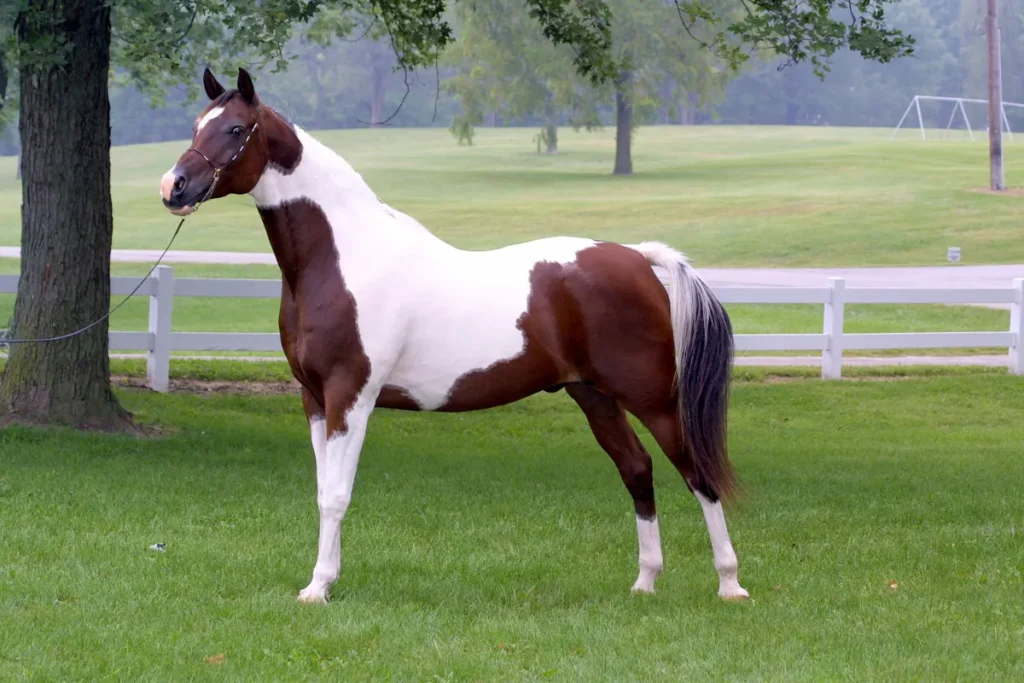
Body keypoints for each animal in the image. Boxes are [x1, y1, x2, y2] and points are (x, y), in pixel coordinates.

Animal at [159, 68, 749, 605]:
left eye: (236, 129)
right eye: (195, 125)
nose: (174, 187)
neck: (344, 258)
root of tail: (639, 259)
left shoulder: (351, 396)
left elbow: (337, 496)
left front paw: (318, 587)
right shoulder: (314, 399)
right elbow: (323, 490)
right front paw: (324, 579)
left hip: (653, 400)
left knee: (698, 475)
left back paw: (730, 584)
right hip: (595, 396)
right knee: (637, 469)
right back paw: (645, 582)